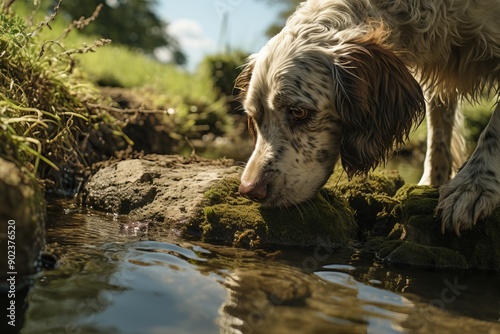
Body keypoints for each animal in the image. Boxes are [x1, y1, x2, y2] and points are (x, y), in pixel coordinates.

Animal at [235, 0, 500, 235]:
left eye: (298, 112)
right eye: (255, 117)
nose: (249, 190)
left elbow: (492, 134)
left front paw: (472, 186)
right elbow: (439, 135)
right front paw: (431, 183)